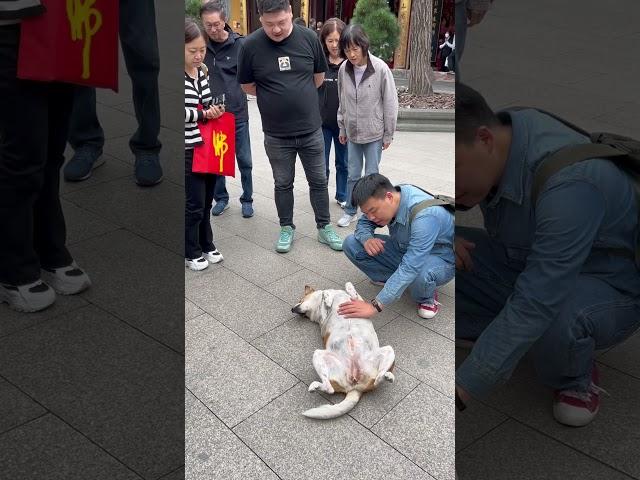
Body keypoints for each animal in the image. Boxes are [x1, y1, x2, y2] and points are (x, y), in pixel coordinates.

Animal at [292, 282, 396, 420]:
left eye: (300, 300)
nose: (292, 309)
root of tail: (355, 388)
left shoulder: (359, 302)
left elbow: (347, 288)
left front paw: (344, 290)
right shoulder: (323, 319)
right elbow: (325, 295)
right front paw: (327, 298)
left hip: (388, 350)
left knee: (377, 379)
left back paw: (387, 375)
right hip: (318, 355)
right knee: (330, 388)